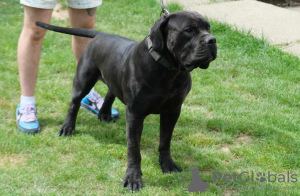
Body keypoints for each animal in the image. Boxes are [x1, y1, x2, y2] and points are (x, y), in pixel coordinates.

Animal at [36, 10, 217, 191]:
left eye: (208, 27)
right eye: (188, 30)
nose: (212, 40)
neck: (168, 70)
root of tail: (101, 34)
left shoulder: (172, 111)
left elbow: (165, 141)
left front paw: (167, 164)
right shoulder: (135, 115)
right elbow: (134, 149)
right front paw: (133, 178)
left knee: (110, 92)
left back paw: (105, 113)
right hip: (83, 80)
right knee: (74, 103)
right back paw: (67, 127)